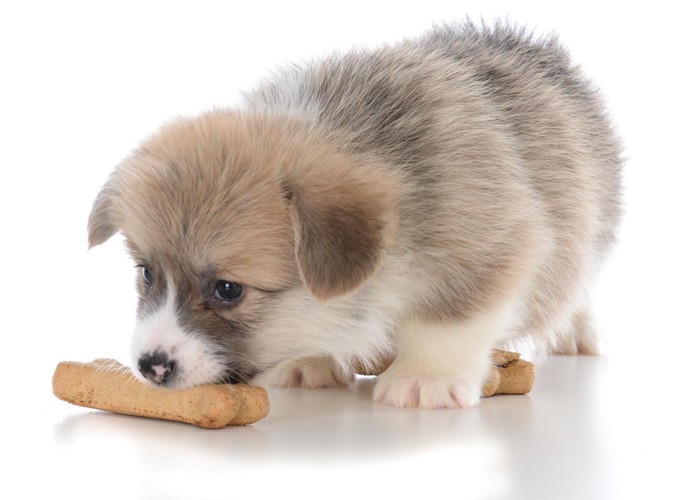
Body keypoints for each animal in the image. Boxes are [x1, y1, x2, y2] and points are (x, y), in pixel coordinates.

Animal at [84, 21, 620, 408]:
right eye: (146, 273)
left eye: (228, 289)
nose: (150, 366)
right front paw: (310, 360)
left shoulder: (491, 247)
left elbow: (446, 324)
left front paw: (424, 380)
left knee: (576, 283)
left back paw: (576, 334)